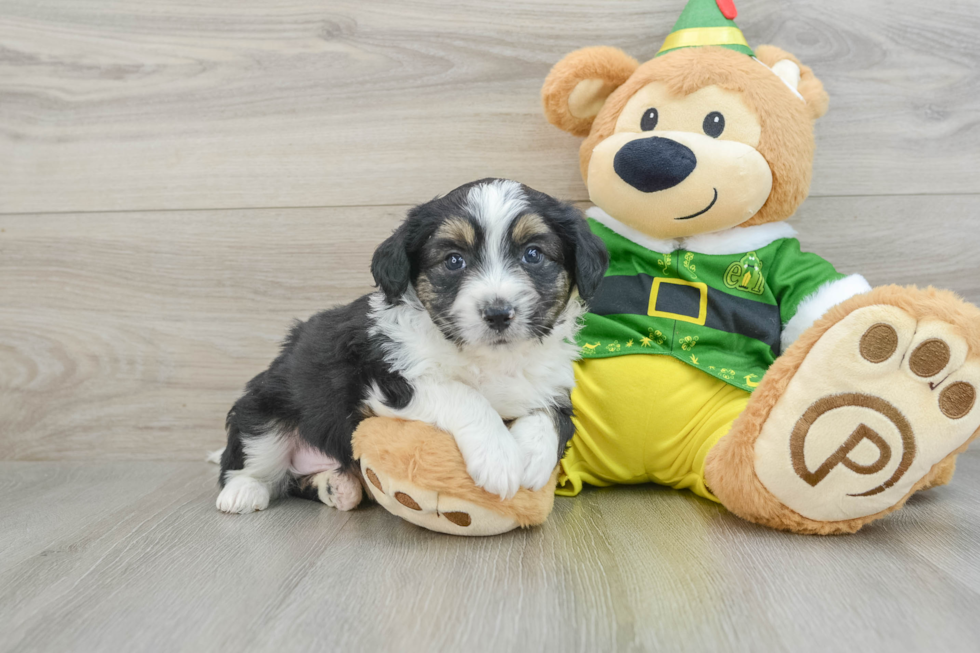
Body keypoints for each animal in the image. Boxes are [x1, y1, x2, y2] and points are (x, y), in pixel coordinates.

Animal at [218, 176, 608, 512]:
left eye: (533, 254)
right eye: (454, 260)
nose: (498, 313)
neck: (488, 357)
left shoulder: (554, 383)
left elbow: (551, 416)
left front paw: (530, 458)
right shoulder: (386, 382)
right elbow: (463, 394)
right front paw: (499, 456)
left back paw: (337, 486)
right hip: (264, 409)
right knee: (248, 462)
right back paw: (242, 492)